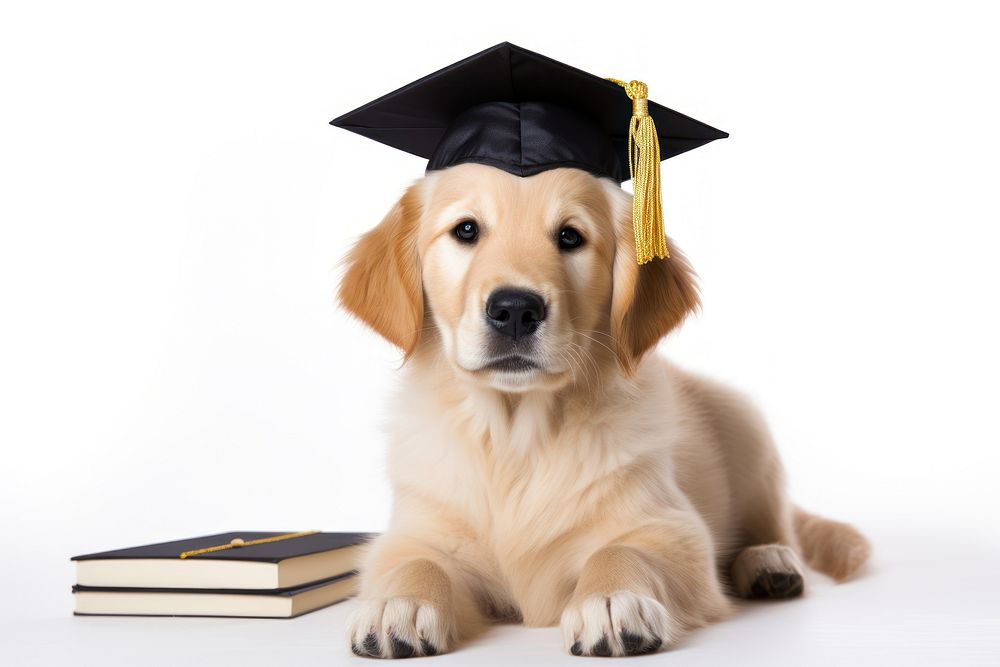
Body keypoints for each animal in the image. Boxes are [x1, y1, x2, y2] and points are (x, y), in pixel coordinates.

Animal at [338, 163, 868, 656]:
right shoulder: (413, 530)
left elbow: (620, 551)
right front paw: (399, 605)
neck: (516, 439)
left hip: (749, 431)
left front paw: (613, 600)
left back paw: (770, 563)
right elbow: (414, 560)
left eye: (570, 237)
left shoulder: (671, 528)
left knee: (780, 527)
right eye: (466, 230)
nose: (515, 310)